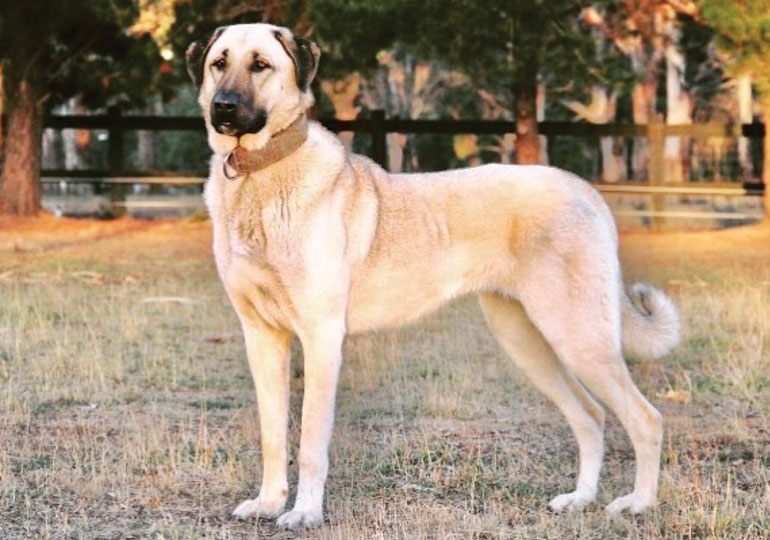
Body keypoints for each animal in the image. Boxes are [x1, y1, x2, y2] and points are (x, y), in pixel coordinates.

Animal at [186, 23, 680, 528]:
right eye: (219, 63)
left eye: (261, 65)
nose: (223, 106)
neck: (260, 173)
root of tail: (584, 188)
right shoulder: (262, 337)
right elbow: (272, 434)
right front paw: (268, 503)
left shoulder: (321, 338)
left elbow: (309, 443)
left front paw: (304, 512)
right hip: (527, 340)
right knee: (591, 416)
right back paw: (580, 498)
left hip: (578, 337)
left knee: (645, 418)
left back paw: (638, 503)